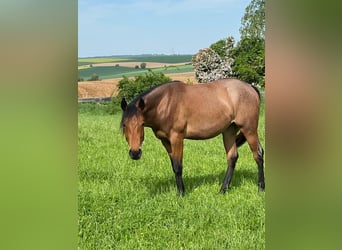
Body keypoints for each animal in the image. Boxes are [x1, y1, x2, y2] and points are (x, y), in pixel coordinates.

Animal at [120, 78, 264, 195]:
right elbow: (173, 165)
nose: (135, 153)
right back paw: (223, 190)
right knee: (232, 157)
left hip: (249, 129)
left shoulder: (177, 138)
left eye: (141, 124)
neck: (165, 103)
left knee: (258, 154)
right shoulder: (165, 141)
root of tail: (250, 87)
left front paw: (181, 193)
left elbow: (178, 166)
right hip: (229, 131)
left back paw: (261, 188)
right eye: (125, 124)